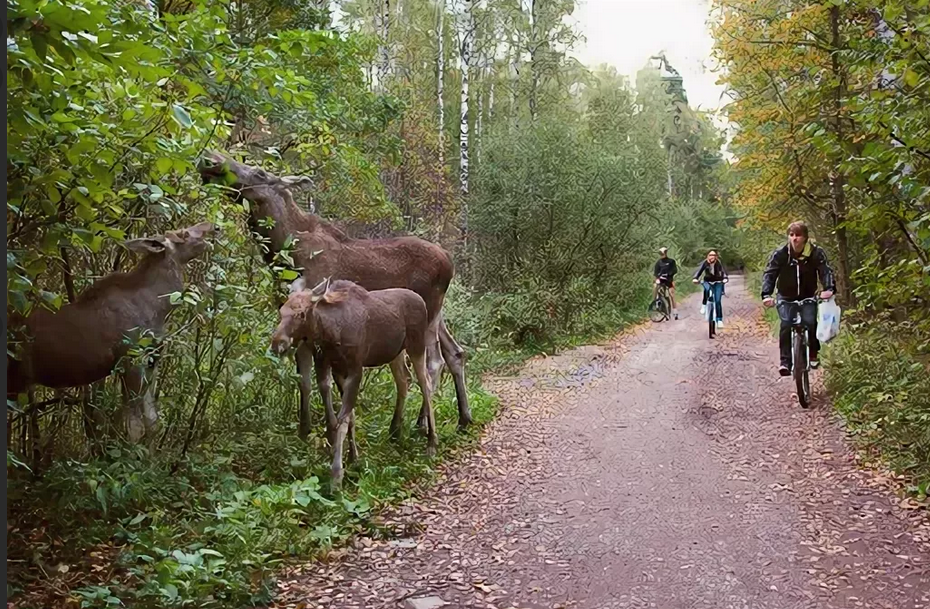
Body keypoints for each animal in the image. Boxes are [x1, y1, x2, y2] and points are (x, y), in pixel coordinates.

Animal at [6, 221, 217, 440]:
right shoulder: (130, 359)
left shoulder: (152, 360)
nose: (214, 227)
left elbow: (152, 422)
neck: (159, 307)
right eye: (183, 234)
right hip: (14, 378)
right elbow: (134, 427)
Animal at [197, 150, 472, 440]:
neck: (283, 254)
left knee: (434, 362)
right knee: (455, 353)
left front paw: (327, 428)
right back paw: (462, 417)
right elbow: (304, 378)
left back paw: (422, 423)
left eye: (260, 172)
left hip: (428, 312)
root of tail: (450, 262)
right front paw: (304, 429)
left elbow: (323, 380)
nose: (212, 158)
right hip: (437, 314)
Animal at [268, 276, 436, 490]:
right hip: (396, 353)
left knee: (426, 383)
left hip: (417, 346)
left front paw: (336, 476)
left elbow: (342, 420)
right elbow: (351, 417)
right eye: (281, 311)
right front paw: (353, 459)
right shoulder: (338, 371)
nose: (277, 343)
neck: (332, 334)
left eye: (302, 313)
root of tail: (421, 301)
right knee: (404, 379)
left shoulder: (356, 370)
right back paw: (395, 432)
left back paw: (431, 442)